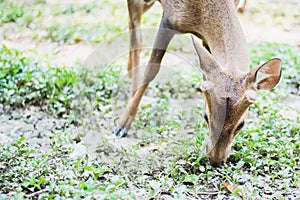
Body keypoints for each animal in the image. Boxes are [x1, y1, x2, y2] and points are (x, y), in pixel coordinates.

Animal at [113, 0, 282, 167]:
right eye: (205, 117)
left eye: (241, 124)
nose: (216, 160)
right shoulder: (169, 19)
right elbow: (152, 69)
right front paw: (123, 124)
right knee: (136, 34)